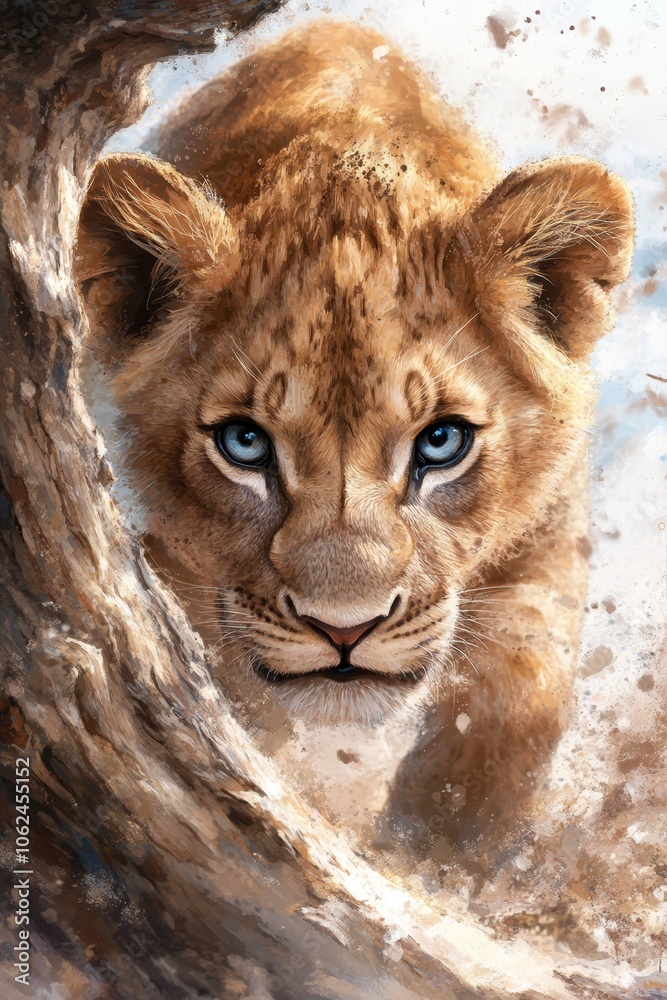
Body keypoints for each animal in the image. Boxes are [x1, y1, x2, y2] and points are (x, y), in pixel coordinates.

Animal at [75, 22, 633, 839]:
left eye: (441, 442)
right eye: (244, 443)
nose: (345, 630)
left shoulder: (549, 527)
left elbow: (518, 693)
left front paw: (441, 845)